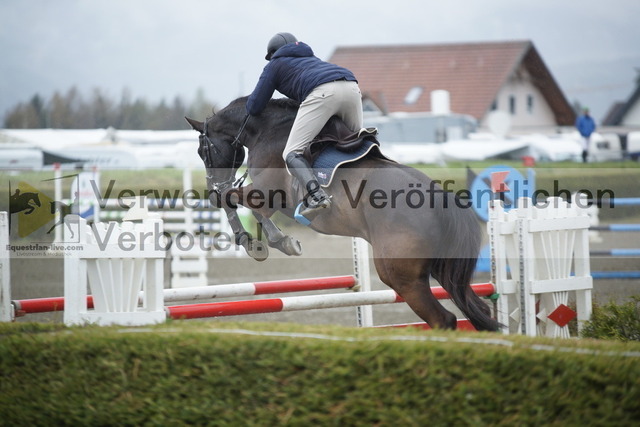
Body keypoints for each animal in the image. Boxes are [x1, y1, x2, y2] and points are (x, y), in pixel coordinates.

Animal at [185, 97, 500, 332]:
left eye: (203, 150)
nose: (213, 182)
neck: (267, 129)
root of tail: (441, 199)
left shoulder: (268, 195)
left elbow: (230, 201)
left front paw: (259, 243)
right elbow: (238, 204)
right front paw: (271, 242)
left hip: (402, 277)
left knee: (443, 319)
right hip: (438, 270)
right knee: (477, 310)